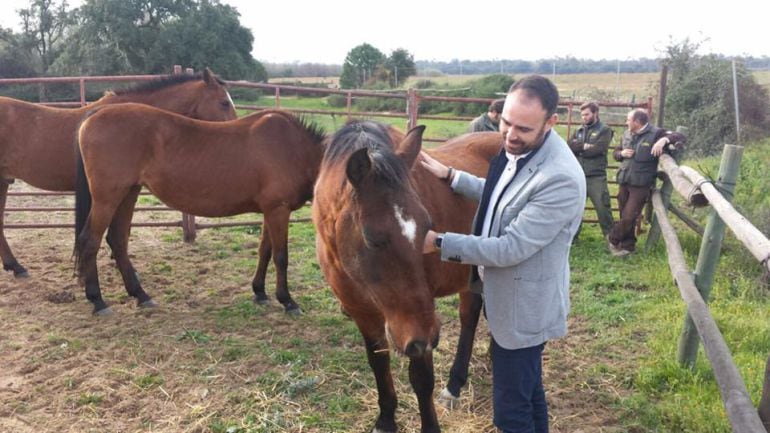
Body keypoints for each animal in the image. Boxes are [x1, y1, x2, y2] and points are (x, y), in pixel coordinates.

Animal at [73, 104, 322, 314]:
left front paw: (259, 291)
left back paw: (141, 295)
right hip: (107, 199)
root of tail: (95, 113)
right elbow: (281, 257)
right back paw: (98, 301)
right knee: (90, 241)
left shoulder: (270, 212)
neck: (294, 149)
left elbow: (265, 251)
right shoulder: (278, 211)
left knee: (117, 241)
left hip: (128, 194)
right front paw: (287, 301)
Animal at [312, 121, 498, 432]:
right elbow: (378, 362)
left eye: (427, 225)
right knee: (470, 314)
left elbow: (422, 379)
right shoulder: (363, 312)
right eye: (371, 237)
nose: (425, 336)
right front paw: (386, 419)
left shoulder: (420, 324)